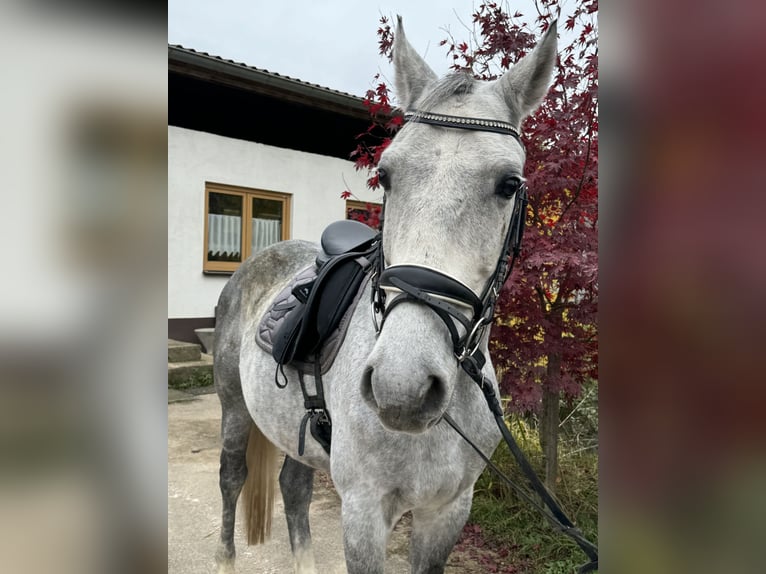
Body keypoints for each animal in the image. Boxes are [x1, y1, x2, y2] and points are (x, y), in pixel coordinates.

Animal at [214, 16, 560, 574]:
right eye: (385, 176)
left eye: (509, 184)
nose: (404, 387)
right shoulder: (364, 511)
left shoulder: (448, 510)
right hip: (234, 409)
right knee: (232, 479)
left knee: (293, 487)